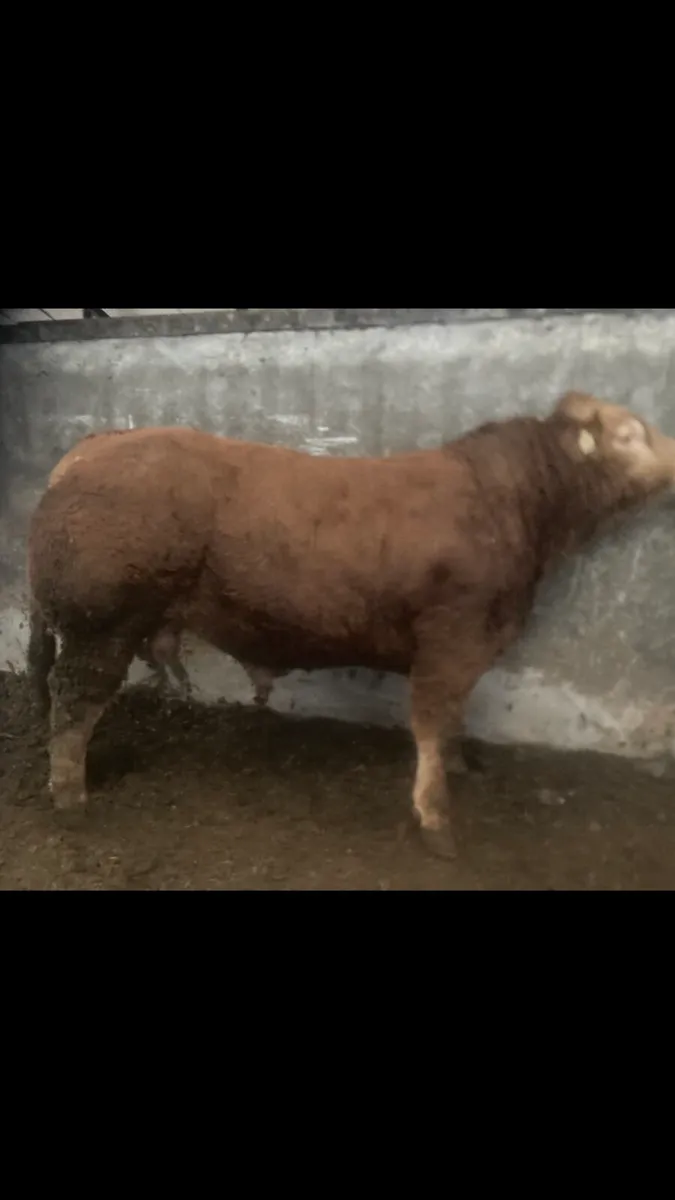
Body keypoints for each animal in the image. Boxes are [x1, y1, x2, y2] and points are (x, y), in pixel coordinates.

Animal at [27, 392, 675, 859]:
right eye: (629, 434)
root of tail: (97, 444)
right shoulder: (451, 638)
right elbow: (432, 723)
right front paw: (437, 823)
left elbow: (453, 719)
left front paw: (460, 765)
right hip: (100, 627)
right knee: (73, 703)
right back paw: (72, 798)